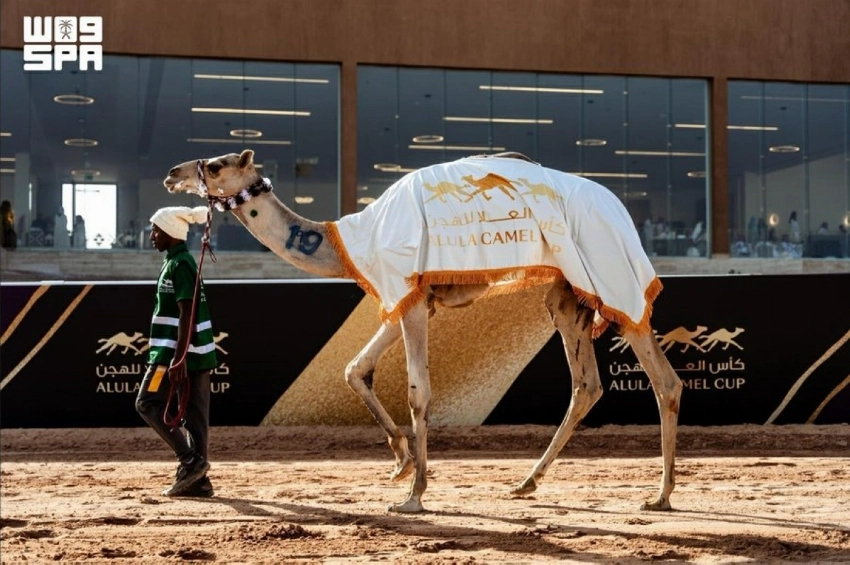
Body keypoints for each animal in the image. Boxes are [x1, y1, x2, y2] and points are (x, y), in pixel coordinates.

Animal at [163, 149, 683, 513]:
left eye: (214, 165)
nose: (172, 173)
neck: (348, 240)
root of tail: (621, 213)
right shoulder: (409, 299)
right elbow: (354, 369)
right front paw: (401, 461)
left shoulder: (408, 293)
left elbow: (418, 391)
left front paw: (415, 494)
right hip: (568, 293)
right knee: (586, 385)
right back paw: (526, 482)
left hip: (611, 278)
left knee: (664, 380)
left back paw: (660, 495)